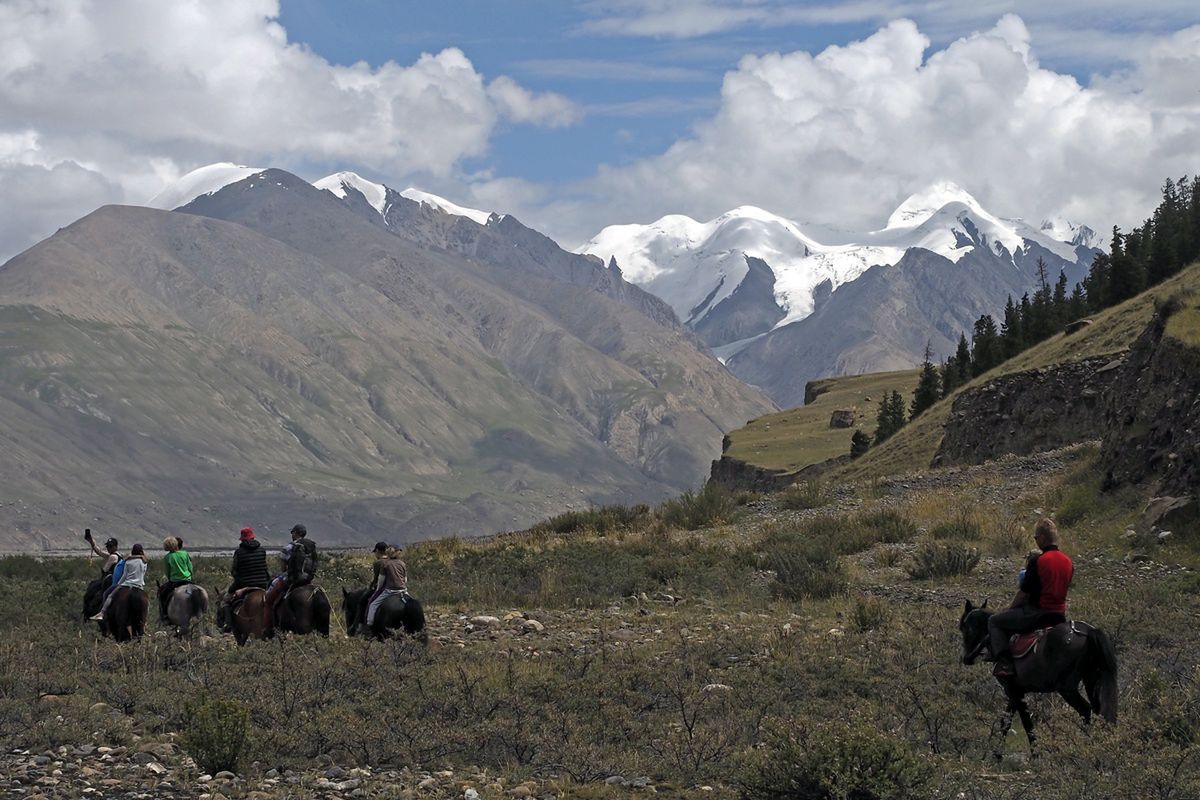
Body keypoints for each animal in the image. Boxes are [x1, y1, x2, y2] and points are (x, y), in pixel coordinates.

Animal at [955, 599, 1113, 758]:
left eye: (964, 628)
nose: (966, 658)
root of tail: (1088, 631)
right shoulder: (1015, 691)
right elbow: (1006, 722)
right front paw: (997, 755)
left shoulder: (1013, 691)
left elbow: (1026, 724)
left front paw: (1035, 755)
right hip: (1091, 680)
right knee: (1098, 711)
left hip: (1067, 688)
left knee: (1086, 711)